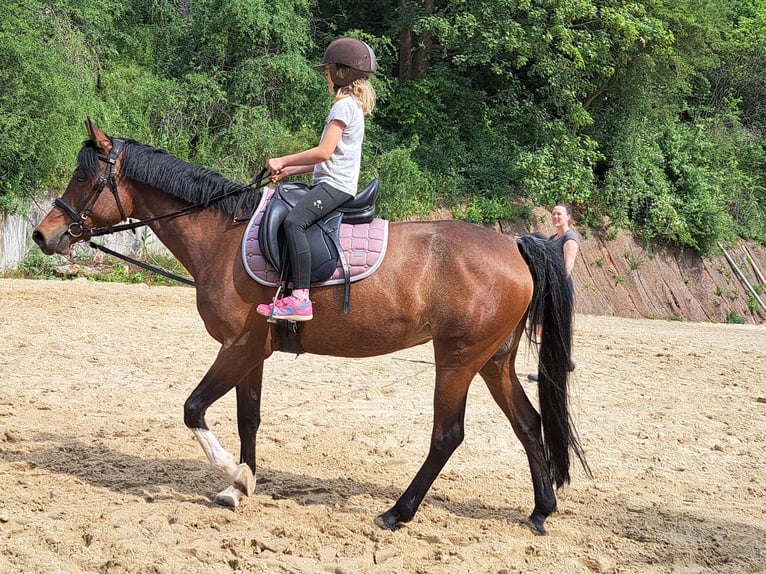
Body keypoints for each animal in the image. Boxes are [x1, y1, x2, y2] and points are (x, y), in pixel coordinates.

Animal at [33, 119, 592, 536]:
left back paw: (397, 512)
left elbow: (193, 409)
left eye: (82, 178)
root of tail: (514, 243)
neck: (222, 236)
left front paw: (233, 474)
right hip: (492, 359)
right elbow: (248, 418)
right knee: (528, 423)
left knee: (447, 435)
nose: (42, 235)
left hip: (457, 358)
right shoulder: (252, 351)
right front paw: (241, 485)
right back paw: (540, 510)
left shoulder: (239, 347)